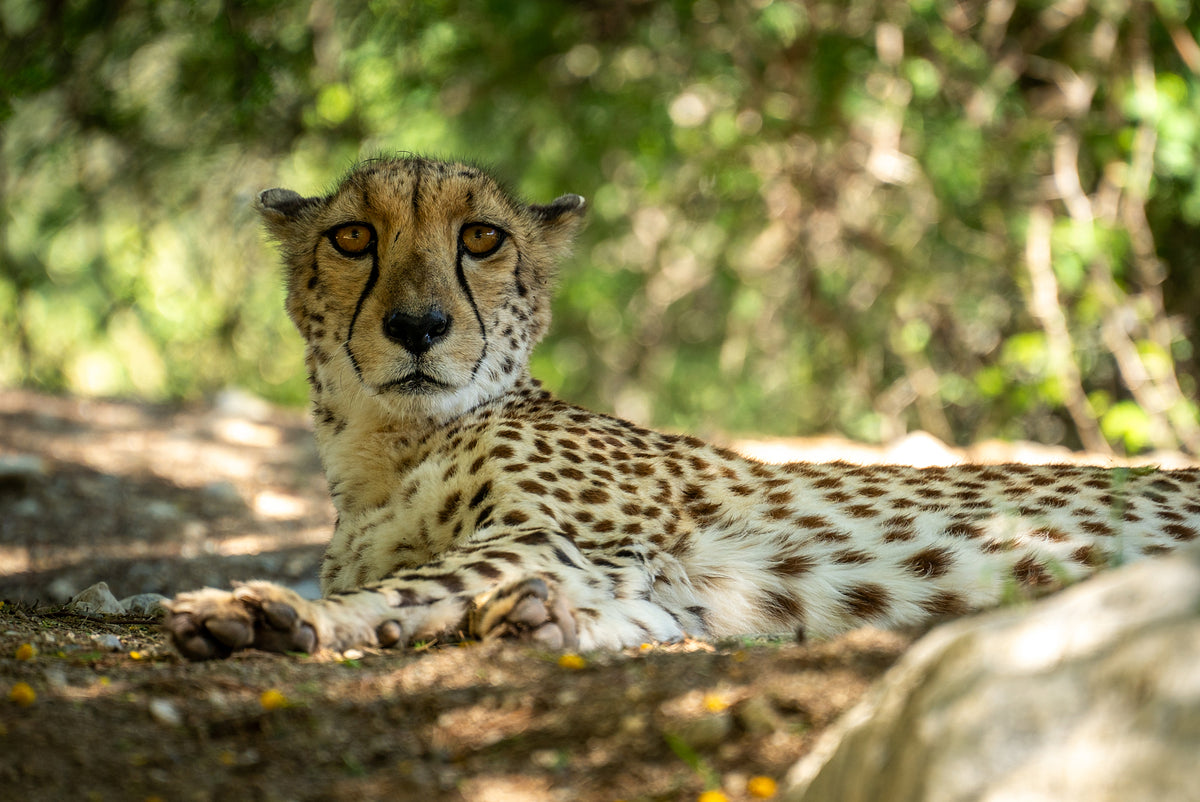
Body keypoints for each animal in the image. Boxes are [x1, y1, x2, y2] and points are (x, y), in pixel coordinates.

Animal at [165, 155, 1200, 660]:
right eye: (352, 238)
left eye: (482, 238)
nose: (418, 326)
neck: (391, 446)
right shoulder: (641, 581)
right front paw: (535, 625)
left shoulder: (564, 538)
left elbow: (414, 582)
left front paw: (273, 613)